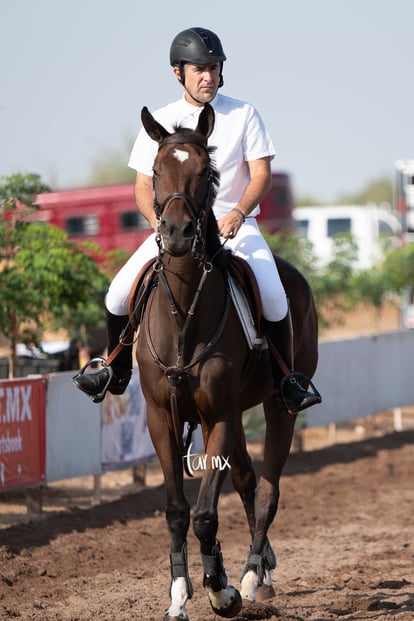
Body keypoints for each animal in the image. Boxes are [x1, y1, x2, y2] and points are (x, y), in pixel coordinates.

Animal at [134, 104, 318, 616]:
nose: (177, 234)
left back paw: (254, 575)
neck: (184, 313)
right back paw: (261, 568)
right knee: (247, 480)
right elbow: (179, 510)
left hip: (277, 405)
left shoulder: (217, 415)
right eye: (155, 170)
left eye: (206, 173)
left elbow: (204, 514)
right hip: (235, 412)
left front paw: (222, 589)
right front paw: (179, 592)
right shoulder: (163, 416)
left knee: (268, 489)